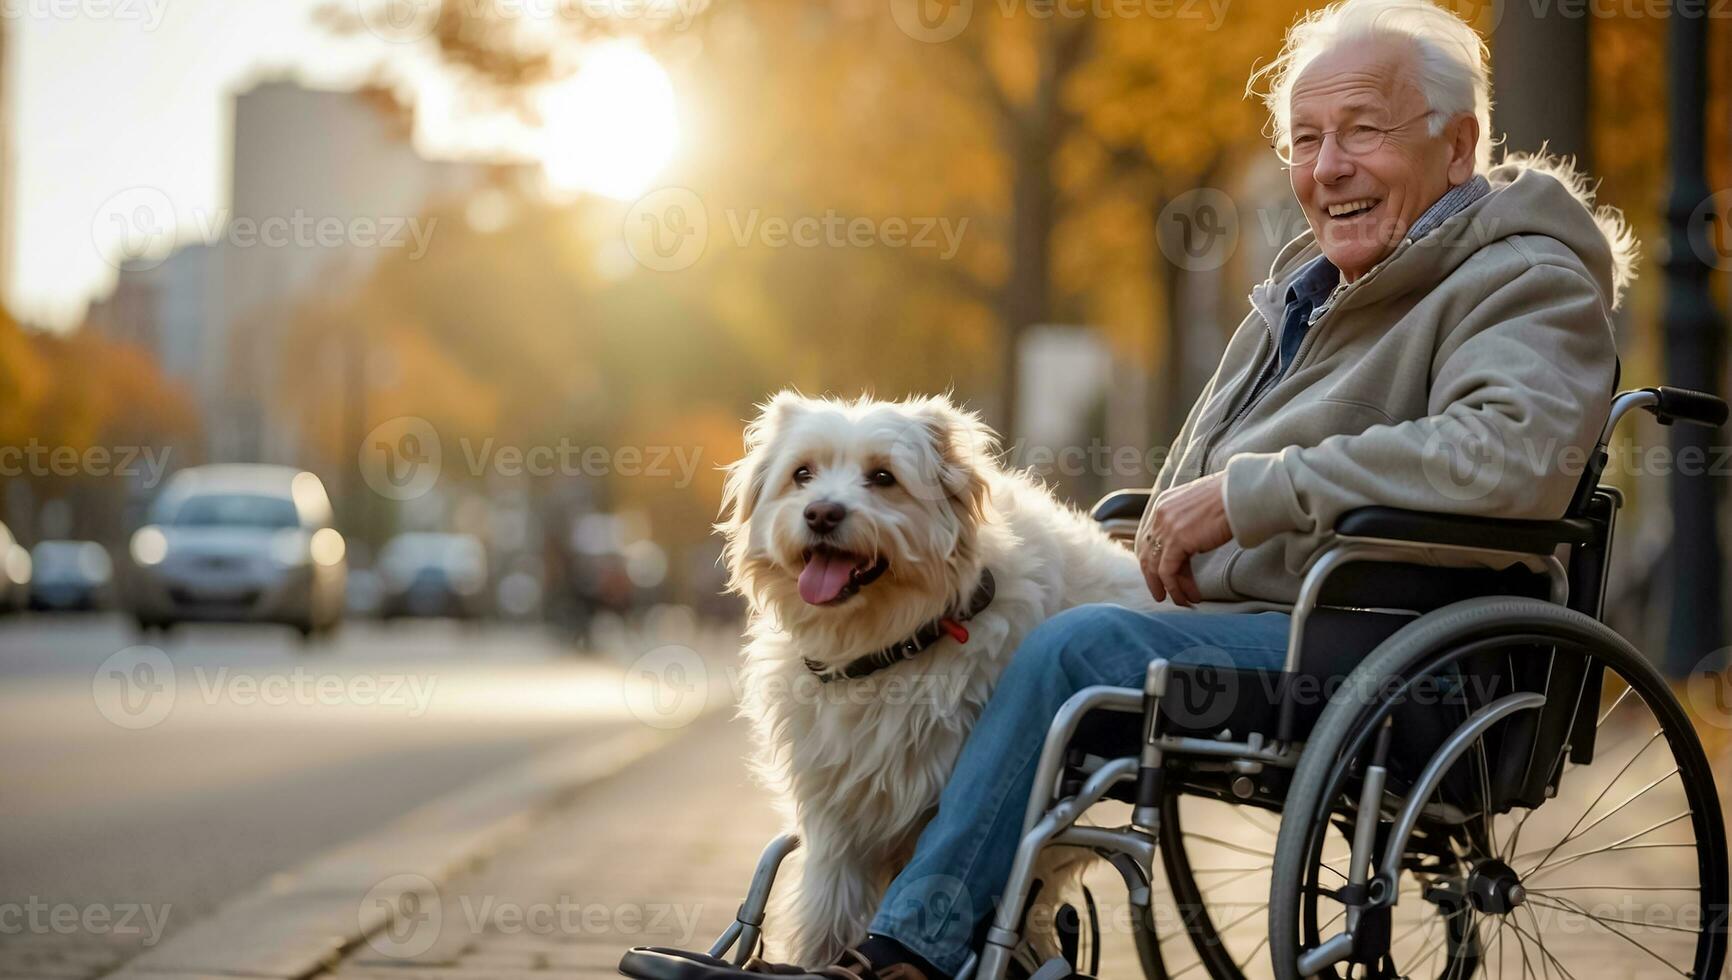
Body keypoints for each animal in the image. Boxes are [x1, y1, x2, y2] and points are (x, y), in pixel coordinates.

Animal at [717, 391, 1163, 969]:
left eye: (883, 477)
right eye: (802, 474)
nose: (821, 513)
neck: (888, 644)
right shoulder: (839, 823)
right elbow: (826, 915)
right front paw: (815, 965)